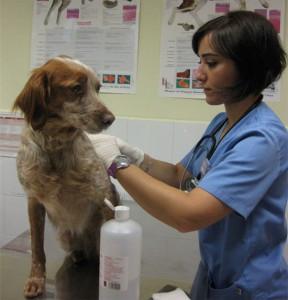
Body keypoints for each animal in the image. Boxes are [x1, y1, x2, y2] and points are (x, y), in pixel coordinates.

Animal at [12, 56, 118, 298]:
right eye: (76, 88)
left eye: (98, 88)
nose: (111, 119)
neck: (55, 145)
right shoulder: (34, 200)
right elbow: (37, 248)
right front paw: (36, 280)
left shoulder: (102, 195)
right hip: (65, 237)